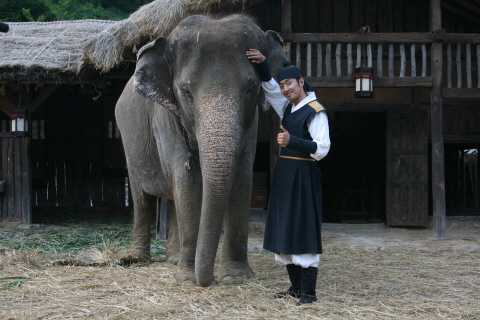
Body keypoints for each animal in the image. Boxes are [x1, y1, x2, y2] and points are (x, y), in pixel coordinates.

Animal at [115, 13, 288, 286]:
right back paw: (137, 259)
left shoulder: (251, 123)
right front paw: (187, 280)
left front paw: (236, 277)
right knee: (143, 197)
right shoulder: (165, 117)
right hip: (130, 142)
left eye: (251, 89)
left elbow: (242, 178)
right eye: (186, 93)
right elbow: (187, 180)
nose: (209, 281)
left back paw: (173, 259)